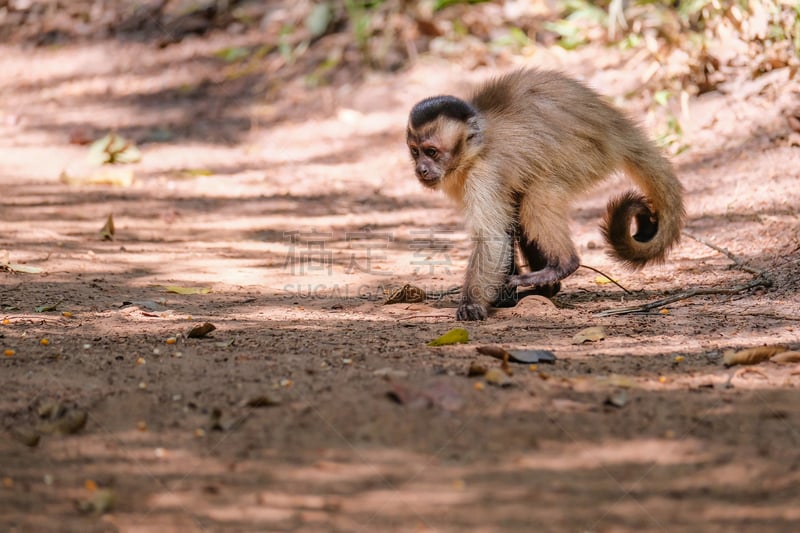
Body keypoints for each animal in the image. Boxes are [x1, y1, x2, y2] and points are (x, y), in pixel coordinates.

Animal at [410, 69, 684, 320]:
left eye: (432, 152)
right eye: (415, 152)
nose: (421, 169)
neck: (474, 151)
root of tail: (616, 127)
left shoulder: (483, 174)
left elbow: (492, 239)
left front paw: (472, 303)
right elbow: (504, 231)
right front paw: (500, 297)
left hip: (586, 155)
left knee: (537, 195)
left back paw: (562, 266)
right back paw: (545, 288)